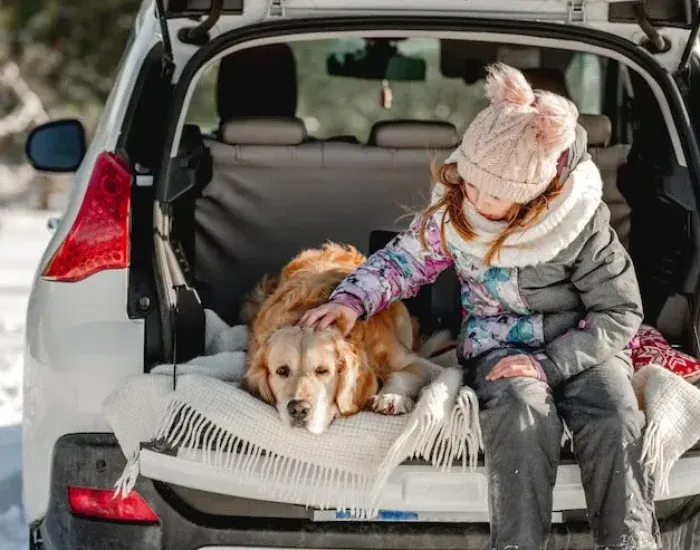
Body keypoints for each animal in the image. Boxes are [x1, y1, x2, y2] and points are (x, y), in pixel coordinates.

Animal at [242, 243, 445, 434]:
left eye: (322, 371)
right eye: (282, 371)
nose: (299, 409)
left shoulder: (416, 363)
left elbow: (401, 374)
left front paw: (390, 398)